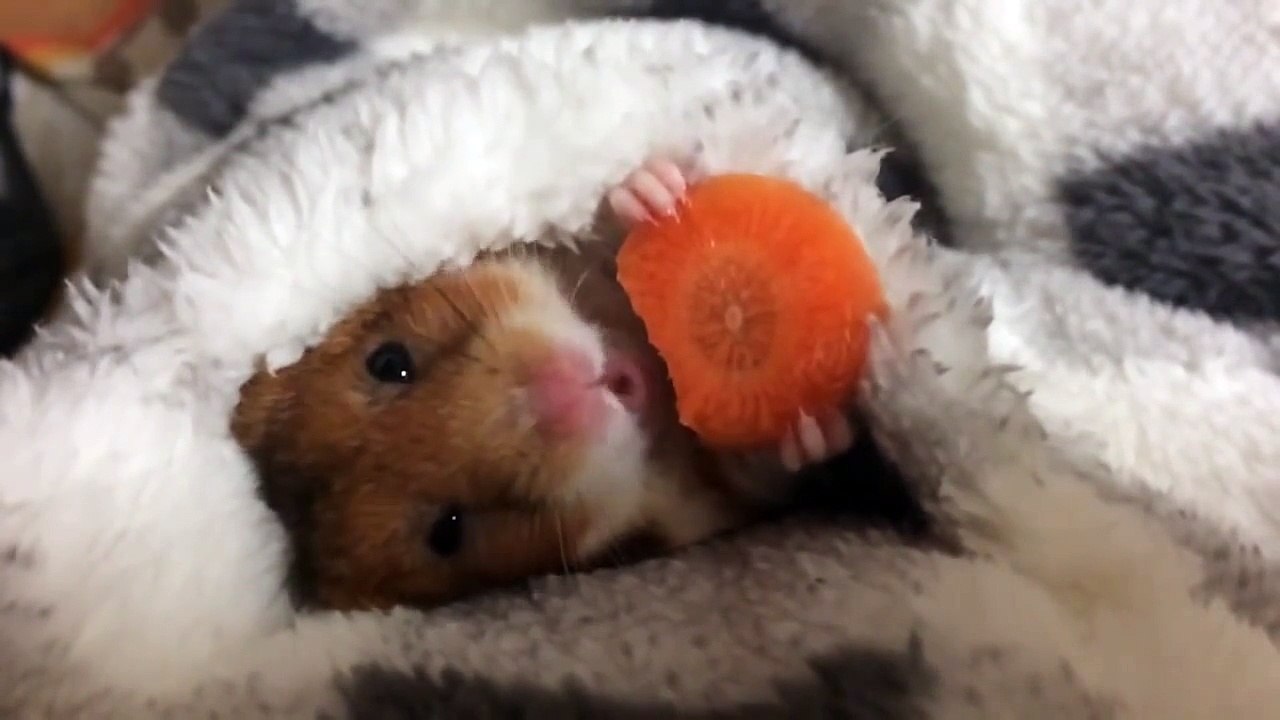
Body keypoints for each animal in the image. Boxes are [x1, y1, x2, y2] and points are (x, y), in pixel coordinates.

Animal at [230, 157, 856, 611]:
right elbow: (764, 472)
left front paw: (653, 193)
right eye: (447, 531)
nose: (571, 387)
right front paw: (810, 429)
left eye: (388, 362)